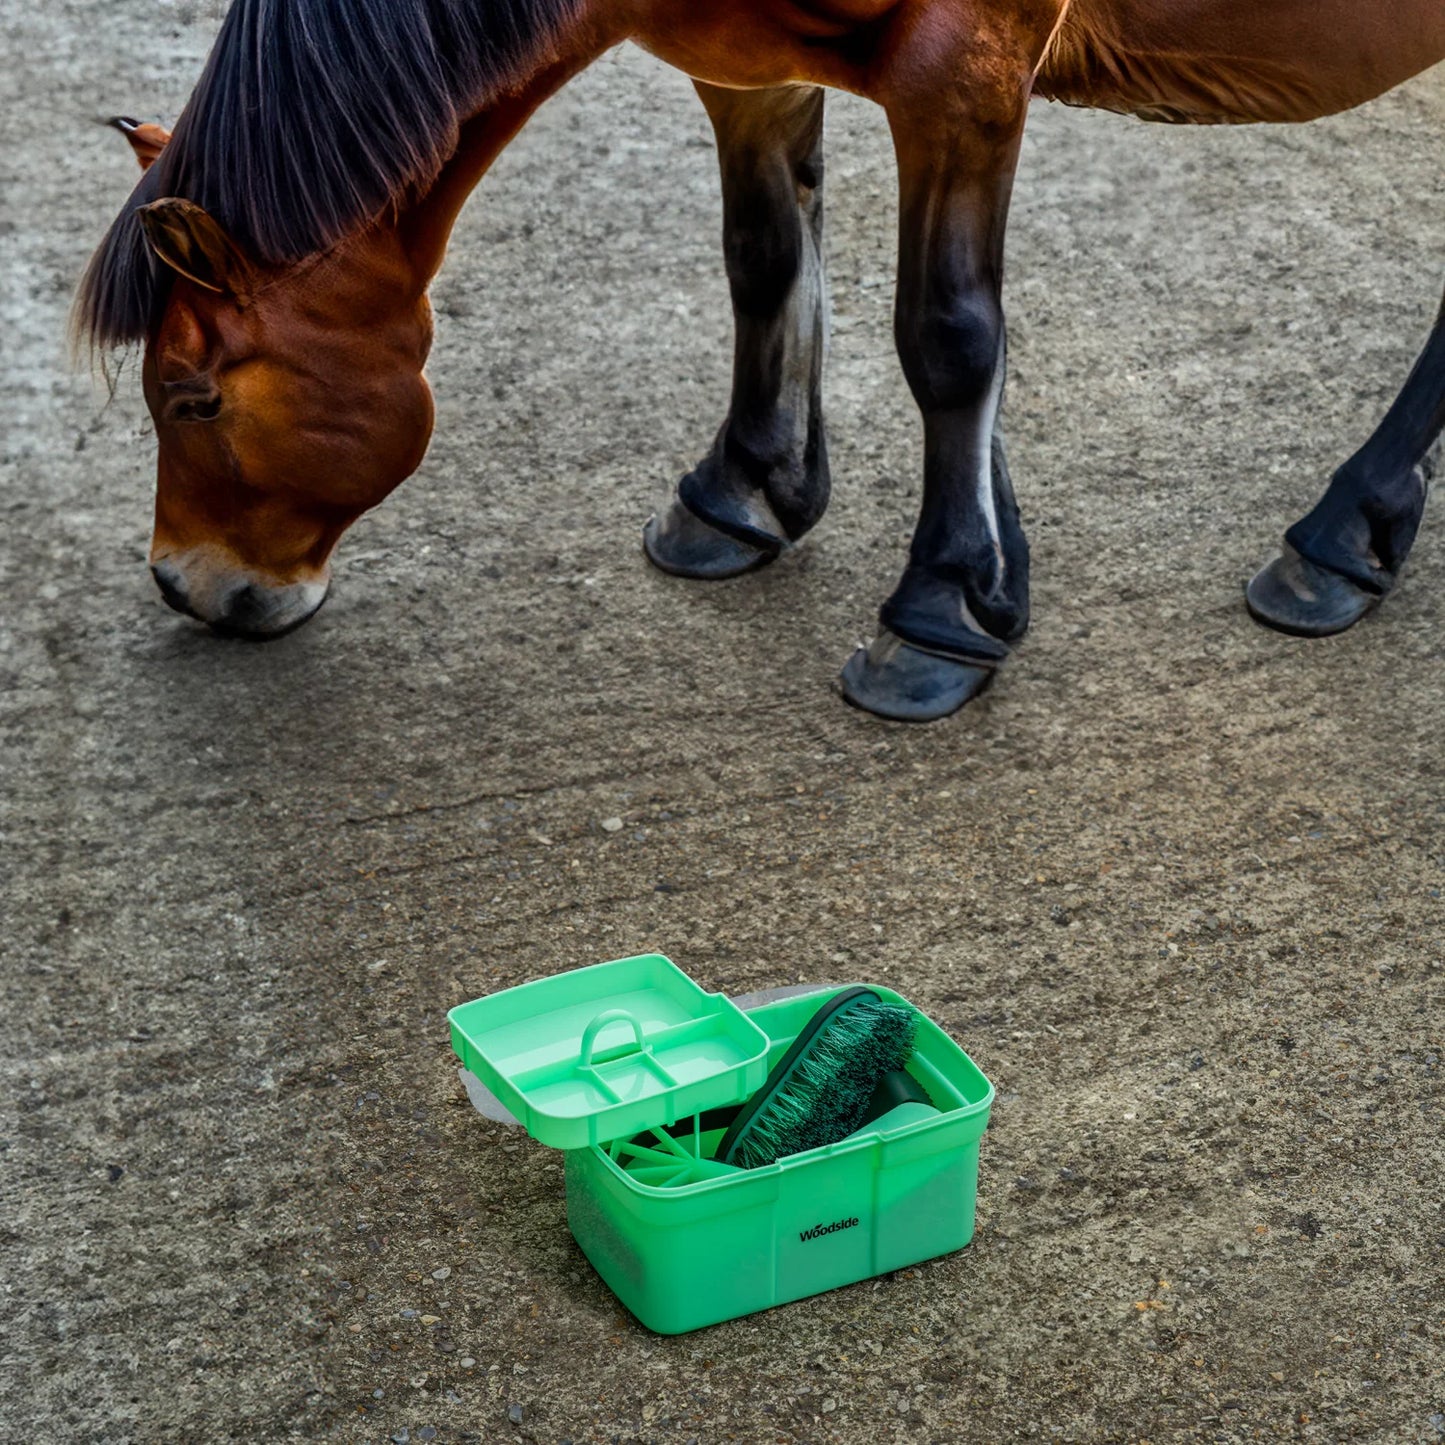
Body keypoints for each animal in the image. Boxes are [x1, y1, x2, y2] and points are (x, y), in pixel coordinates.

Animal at [78, 0, 1445, 721]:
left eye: (192, 399)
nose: (188, 586)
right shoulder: (748, 61)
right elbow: (764, 258)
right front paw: (749, 489)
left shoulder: (962, 75)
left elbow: (947, 335)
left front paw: (940, 607)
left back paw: (1342, 531)